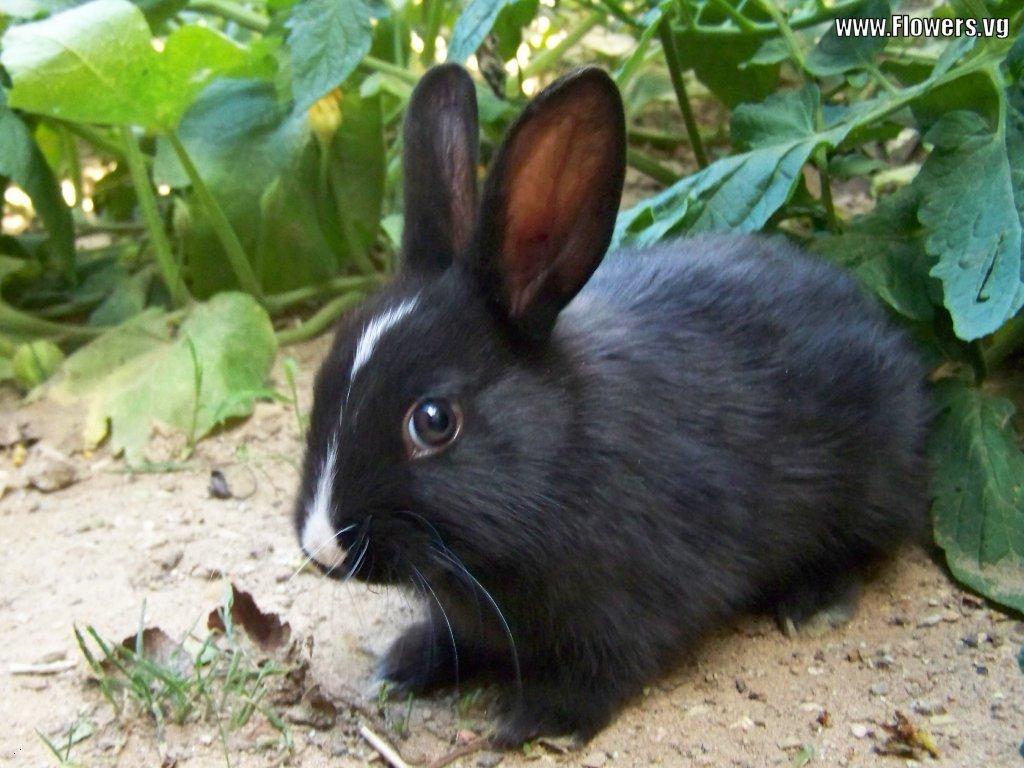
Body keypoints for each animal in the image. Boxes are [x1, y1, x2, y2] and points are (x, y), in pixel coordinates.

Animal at [293, 63, 930, 747]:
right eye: (322, 382)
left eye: (434, 421)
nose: (322, 547)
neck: (556, 454)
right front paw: (406, 663)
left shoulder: (631, 607)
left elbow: (605, 670)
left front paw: (539, 720)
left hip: (869, 487)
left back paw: (814, 604)